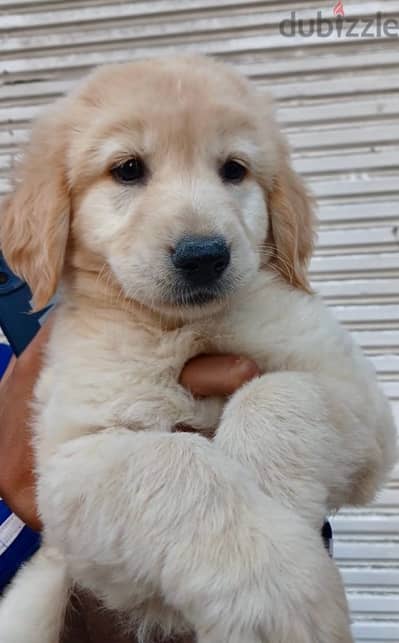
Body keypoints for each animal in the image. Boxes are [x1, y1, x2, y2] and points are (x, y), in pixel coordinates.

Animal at [0, 56, 396, 643]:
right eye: (128, 169)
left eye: (234, 170)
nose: (203, 255)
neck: (181, 328)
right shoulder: (71, 460)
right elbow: (174, 460)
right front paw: (273, 584)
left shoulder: (357, 398)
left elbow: (280, 393)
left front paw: (274, 498)